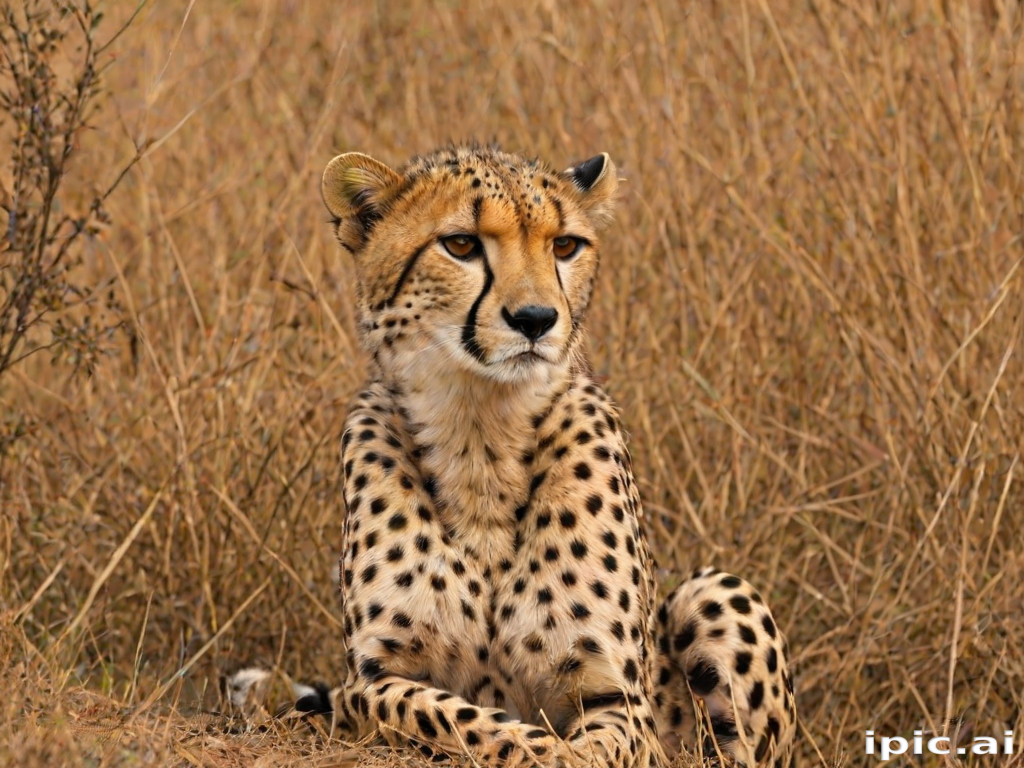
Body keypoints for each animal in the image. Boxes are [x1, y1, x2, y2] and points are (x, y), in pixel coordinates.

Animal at [302, 143, 797, 767]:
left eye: (565, 246)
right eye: (460, 244)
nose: (536, 319)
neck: (483, 439)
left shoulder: (621, 700)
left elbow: (596, 747)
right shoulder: (370, 681)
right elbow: (459, 720)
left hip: (717, 592)